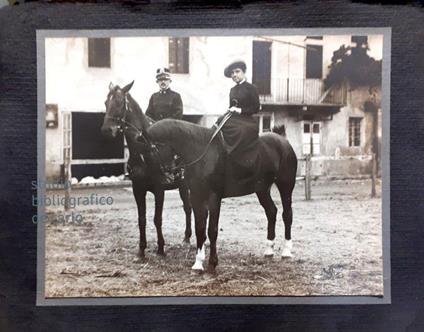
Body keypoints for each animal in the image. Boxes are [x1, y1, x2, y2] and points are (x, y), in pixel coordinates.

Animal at [99, 81, 192, 260]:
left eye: (120, 102)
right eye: (106, 102)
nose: (107, 130)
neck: (143, 149)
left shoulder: (159, 189)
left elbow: (157, 218)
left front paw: (161, 248)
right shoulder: (137, 188)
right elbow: (141, 219)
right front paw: (141, 250)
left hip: (185, 184)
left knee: (188, 207)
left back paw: (189, 237)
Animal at [147, 117, 298, 272]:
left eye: (151, 149)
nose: (165, 178)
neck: (202, 152)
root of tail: (282, 140)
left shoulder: (214, 198)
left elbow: (212, 230)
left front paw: (212, 263)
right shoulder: (196, 197)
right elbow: (200, 229)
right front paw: (198, 263)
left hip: (286, 185)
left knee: (287, 214)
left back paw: (286, 251)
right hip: (262, 189)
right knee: (271, 212)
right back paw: (269, 250)